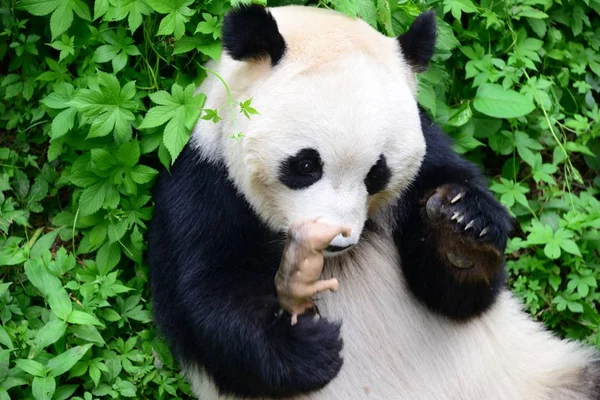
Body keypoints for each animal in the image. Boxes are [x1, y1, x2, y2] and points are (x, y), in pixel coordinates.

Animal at [149, 3, 600, 400]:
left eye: (376, 173)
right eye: (306, 164)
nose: (337, 239)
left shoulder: (428, 155)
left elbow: (459, 297)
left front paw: (463, 232)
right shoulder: (203, 182)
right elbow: (210, 295)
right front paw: (309, 343)